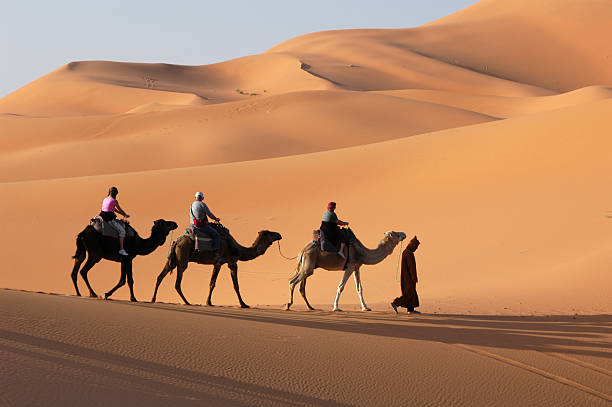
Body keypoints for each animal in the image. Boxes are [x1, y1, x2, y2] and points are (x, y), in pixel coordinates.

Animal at [155, 228, 284, 308]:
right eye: (269, 233)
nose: (279, 234)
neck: (237, 249)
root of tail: (177, 241)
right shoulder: (221, 262)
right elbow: (215, 283)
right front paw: (209, 302)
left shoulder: (230, 263)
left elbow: (234, 285)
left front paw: (243, 304)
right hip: (183, 258)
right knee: (177, 283)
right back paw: (187, 302)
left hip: (173, 260)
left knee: (160, 276)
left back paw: (153, 299)